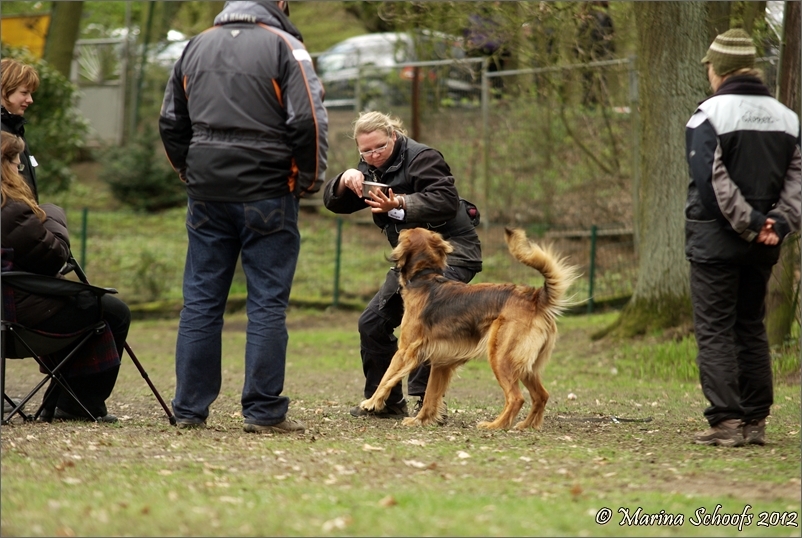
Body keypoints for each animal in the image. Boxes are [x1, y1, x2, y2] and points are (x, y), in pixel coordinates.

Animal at [360, 226, 576, 428]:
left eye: (409, 231)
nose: (401, 227)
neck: (424, 277)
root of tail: (534, 297)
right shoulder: (441, 361)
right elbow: (430, 395)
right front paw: (420, 420)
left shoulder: (405, 351)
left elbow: (386, 377)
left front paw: (371, 402)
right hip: (524, 366)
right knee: (541, 395)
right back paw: (525, 426)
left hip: (501, 357)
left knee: (516, 398)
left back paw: (495, 425)